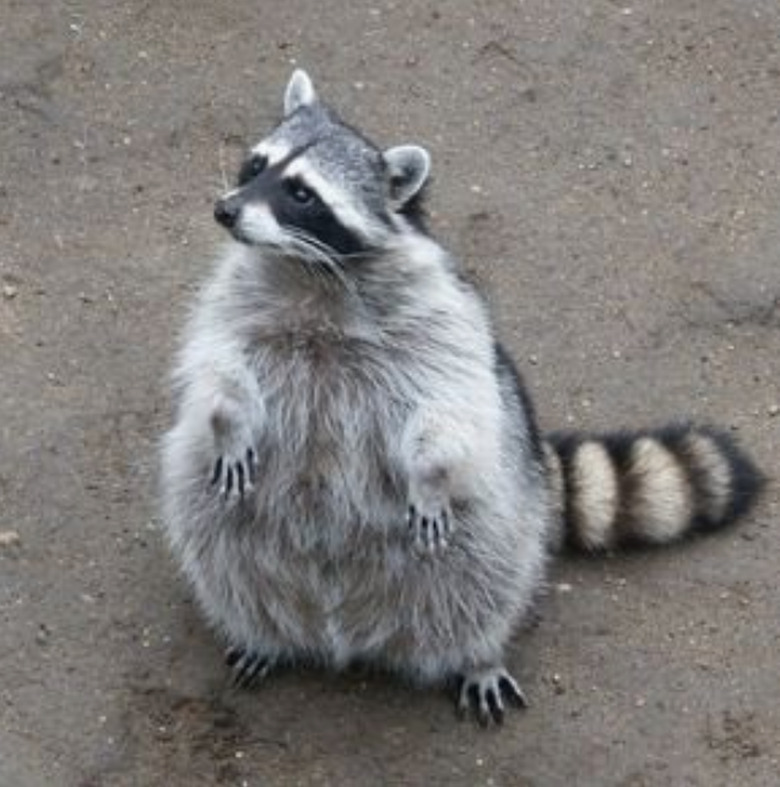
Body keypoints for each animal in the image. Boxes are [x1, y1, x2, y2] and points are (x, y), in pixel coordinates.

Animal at [160, 70, 763, 725]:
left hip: (500, 513)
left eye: (302, 193)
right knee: (223, 551)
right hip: (221, 516)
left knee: (485, 579)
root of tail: (341, 630)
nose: (225, 210)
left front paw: (429, 475)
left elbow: (448, 406)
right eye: (256, 164)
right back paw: (261, 630)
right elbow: (216, 367)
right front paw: (228, 421)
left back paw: (478, 652)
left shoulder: (441, 318)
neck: (309, 271)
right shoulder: (233, 300)